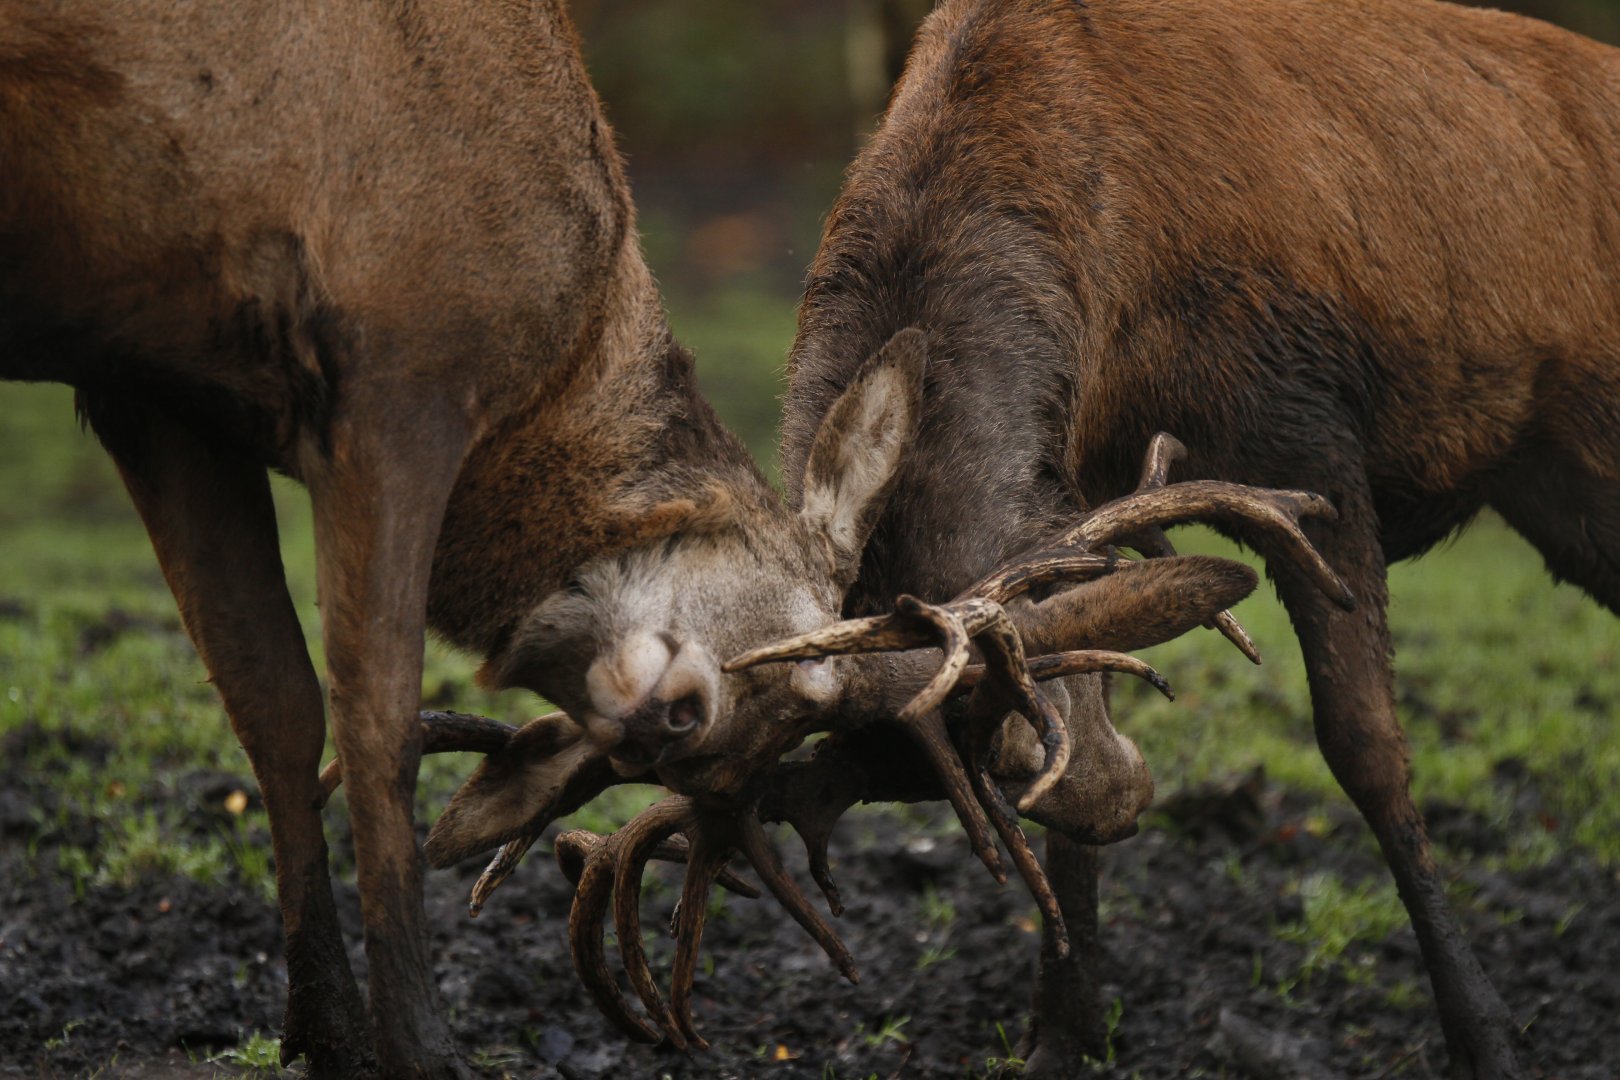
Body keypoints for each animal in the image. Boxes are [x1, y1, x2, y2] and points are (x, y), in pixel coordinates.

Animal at [0, 1, 1359, 1075]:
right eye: (805, 665)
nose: (673, 716)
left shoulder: (157, 395)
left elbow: (270, 710)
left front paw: (320, 1033)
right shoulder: (397, 364)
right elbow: (372, 729)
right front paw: (420, 1046)